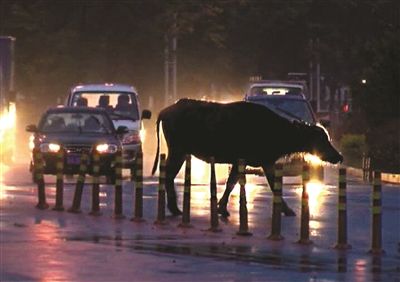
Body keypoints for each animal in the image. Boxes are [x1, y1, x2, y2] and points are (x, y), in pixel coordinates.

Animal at [152, 98, 342, 217]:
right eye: (322, 139)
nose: (338, 156)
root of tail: (165, 111)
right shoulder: (244, 160)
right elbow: (233, 184)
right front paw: (222, 208)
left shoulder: (264, 162)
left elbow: (265, 185)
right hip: (177, 150)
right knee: (168, 176)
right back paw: (175, 210)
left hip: (179, 152)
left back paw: (175, 209)